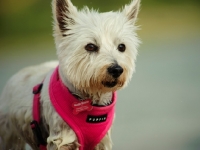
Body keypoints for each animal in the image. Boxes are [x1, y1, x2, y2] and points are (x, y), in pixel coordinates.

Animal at [0, 0, 141, 149]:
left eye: (122, 47)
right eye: (90, 46)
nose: (117, 70)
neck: (91, 101)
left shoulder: (103, 141)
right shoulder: (62, 139)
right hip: (9, 136)